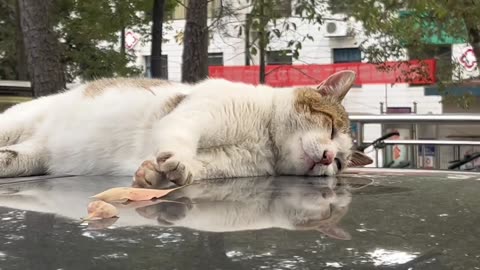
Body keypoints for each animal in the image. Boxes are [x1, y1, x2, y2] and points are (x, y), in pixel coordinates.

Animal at [0, 70, 372, 187]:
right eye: (330, 126)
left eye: (340, 163)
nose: (327, 157)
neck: (264, 139)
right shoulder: (196, 114)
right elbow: (180, 138)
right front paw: (173, 161)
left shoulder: (224, 163)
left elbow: (195, 167)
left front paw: (155, 175)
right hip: (17, 121)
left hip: (30, 158)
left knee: (13, 157)